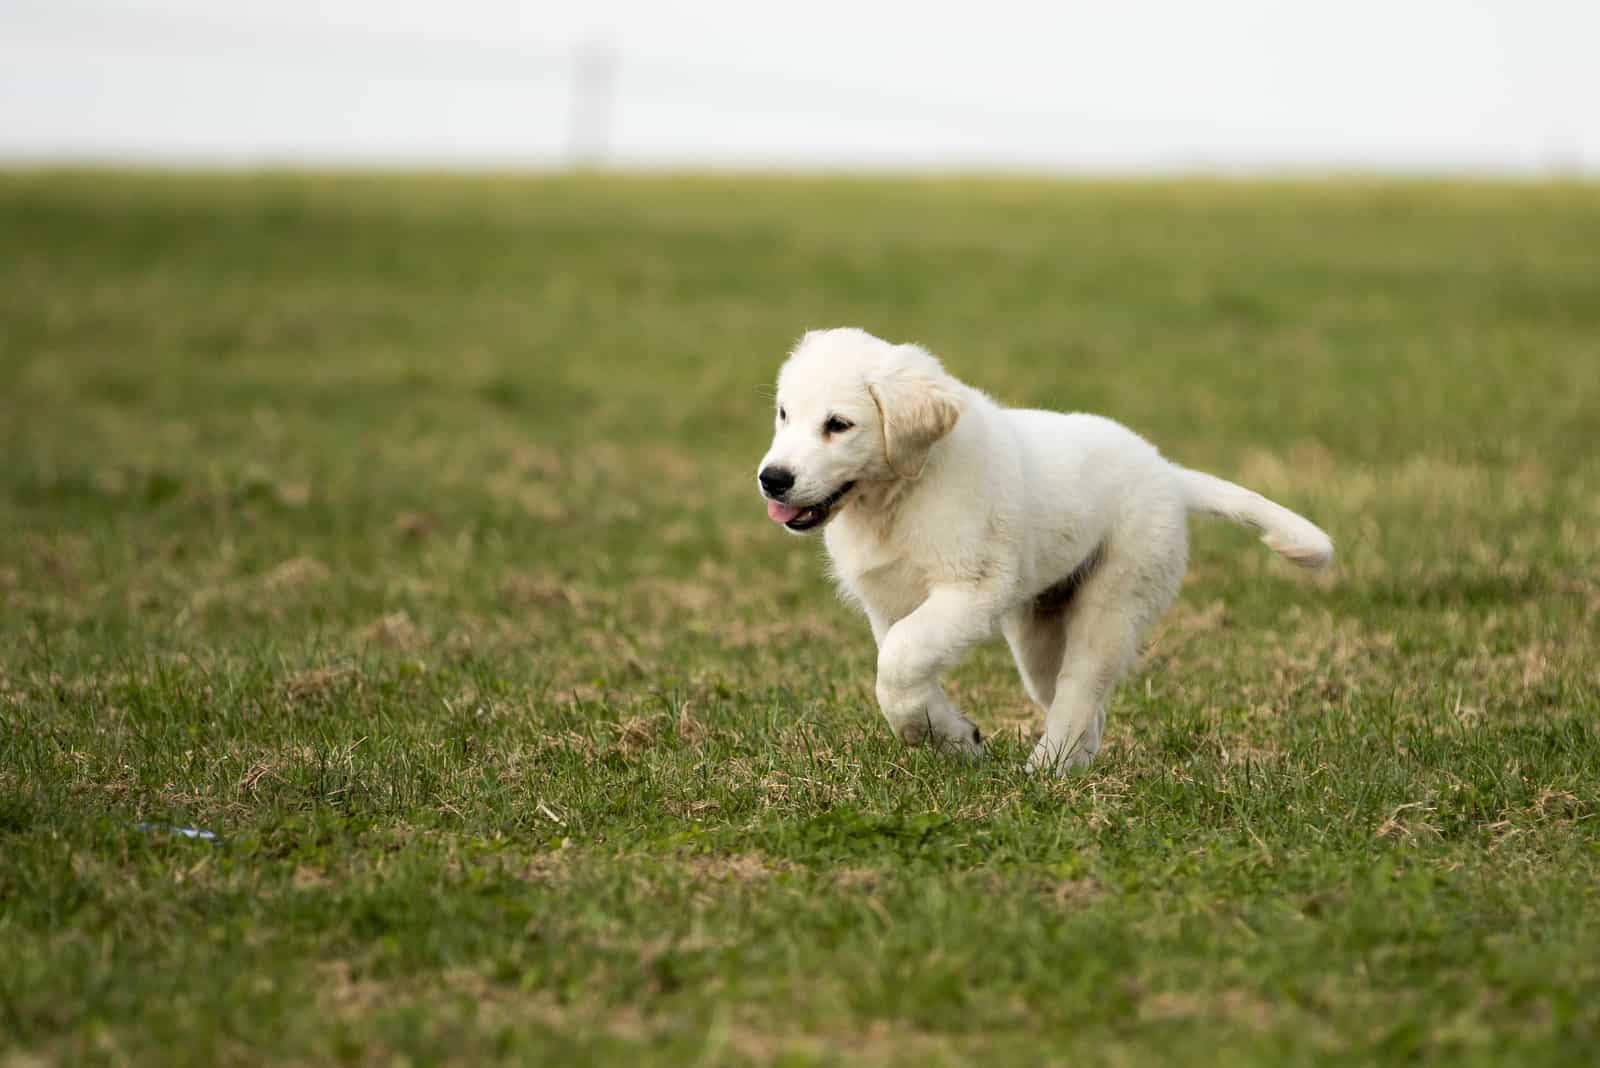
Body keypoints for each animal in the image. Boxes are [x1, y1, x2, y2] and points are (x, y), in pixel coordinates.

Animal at [755, 327, 1331, 777]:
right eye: (784, 414)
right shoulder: (888, 603)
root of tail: (1167, 472)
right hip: (1038, 634)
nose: (772, 479)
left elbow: (897, 663)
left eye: (838, 425)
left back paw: (1045, 769)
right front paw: (954, 737)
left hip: (1116, 600)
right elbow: (905, 667)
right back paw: (1072, 763)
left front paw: (937, 733)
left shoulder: (974, 587)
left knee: (1079, 690)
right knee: (1083, 706)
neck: (897, 497)